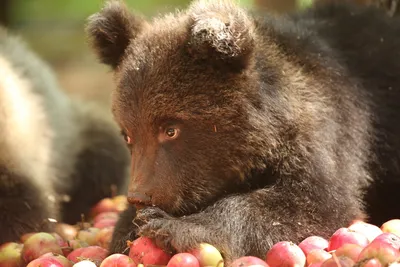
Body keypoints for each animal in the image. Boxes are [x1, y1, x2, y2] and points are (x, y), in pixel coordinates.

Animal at [87, 0, 400, 264]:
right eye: (128, 134)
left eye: (170, 130)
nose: (139, 196)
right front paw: (129, 229)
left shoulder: (329, 131)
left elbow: (314, 201)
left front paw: (173, 227)